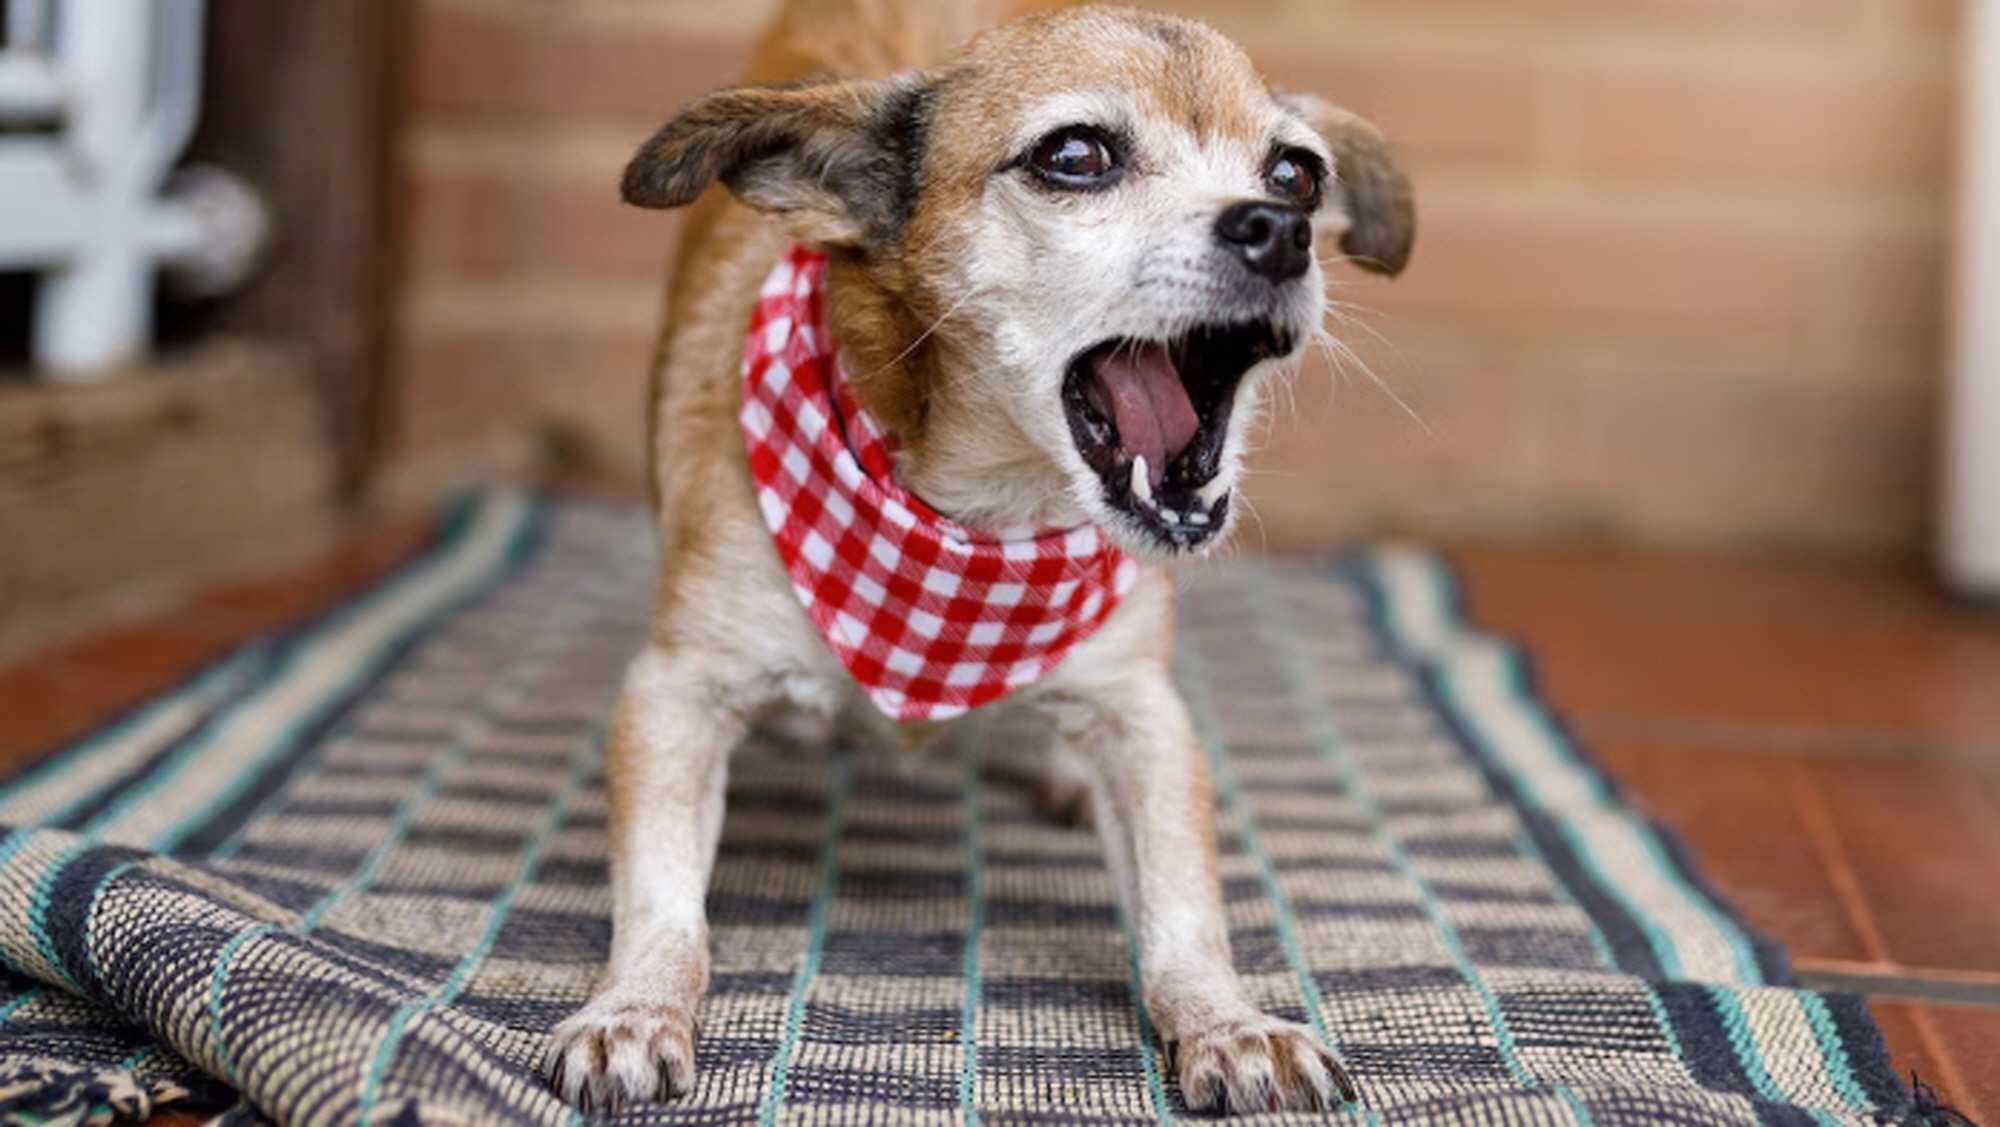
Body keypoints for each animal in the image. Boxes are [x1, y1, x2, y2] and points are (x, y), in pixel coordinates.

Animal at [540, 0, 1416, 1111]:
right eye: (1074, 156)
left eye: (1297, 174)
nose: (1281, 230)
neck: (979, 522)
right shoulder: (676, 690)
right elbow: (660, 897)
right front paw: (634, 1006)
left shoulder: (1141, 713)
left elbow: (1184, 902)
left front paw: (1224, 1020)